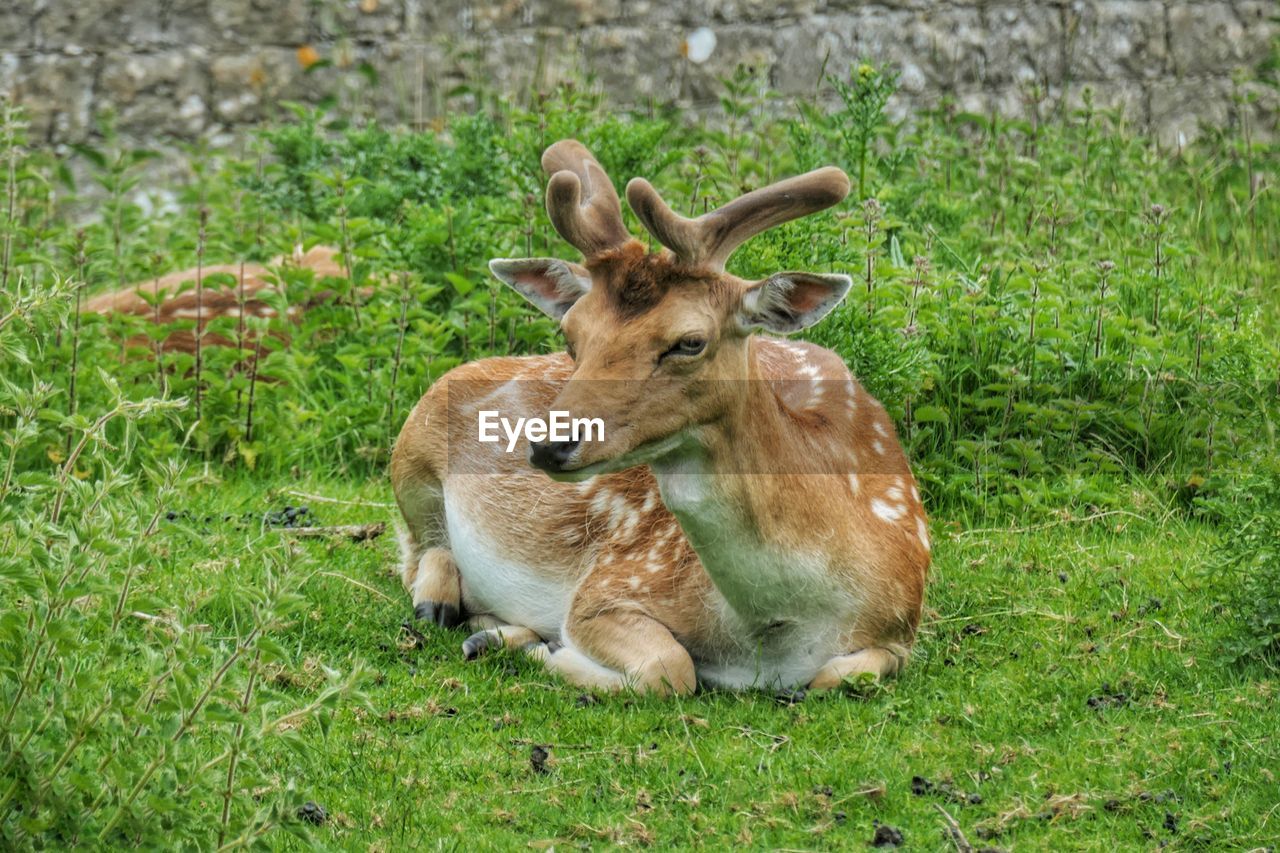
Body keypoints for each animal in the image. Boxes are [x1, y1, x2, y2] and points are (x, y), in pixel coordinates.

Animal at [389, 139, 931, 696]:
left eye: (690, 341)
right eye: (571, 335)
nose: (548, 443)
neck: (777, 635)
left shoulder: (902, 625)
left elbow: (843, 674)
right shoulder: (609, 584)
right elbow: (672, 668)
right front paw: (547, 648)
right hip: (413, 446)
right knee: (419, 551)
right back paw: (447, 609)